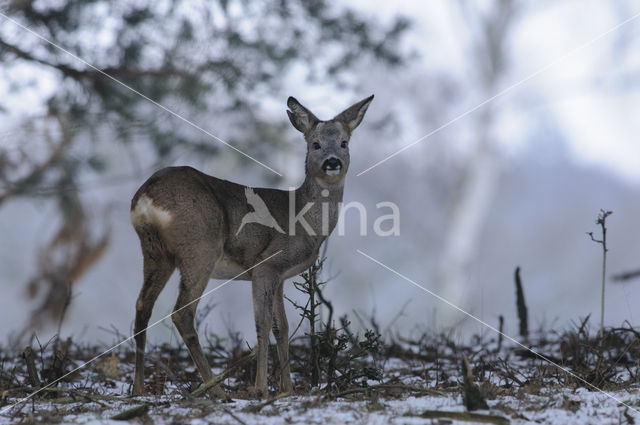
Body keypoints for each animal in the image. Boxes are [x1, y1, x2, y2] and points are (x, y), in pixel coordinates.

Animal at [130, 94, 372, 396]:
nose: (332, 161)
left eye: (344, 142)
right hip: (200, 248)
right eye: (314, 144)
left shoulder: (280, 275)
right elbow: (263, 323)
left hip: (155, 252)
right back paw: (215, 389)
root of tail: (145, 195)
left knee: (142, 307)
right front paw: (261, 388)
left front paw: (287, 389)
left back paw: (138, 388)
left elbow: (283, 327)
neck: (303, 219)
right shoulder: (267, 263)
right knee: (182, 313)